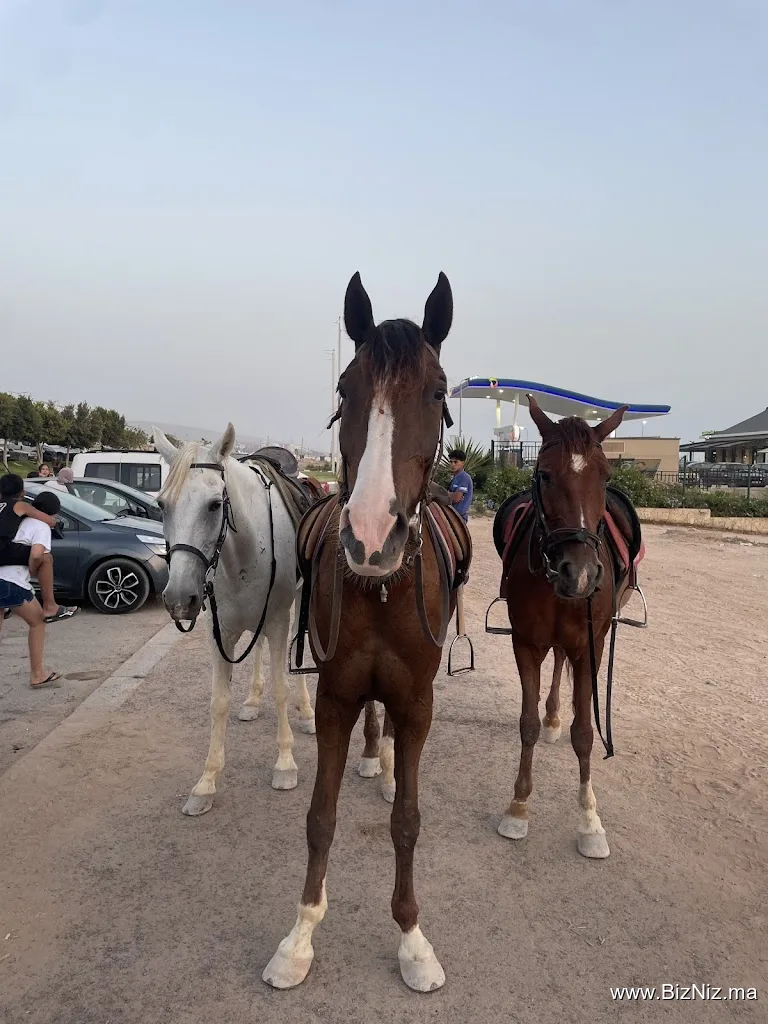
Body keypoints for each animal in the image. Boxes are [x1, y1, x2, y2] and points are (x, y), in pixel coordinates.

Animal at [153, 426, 317, 815]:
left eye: (215, 504)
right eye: (162, 505)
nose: (179, 598)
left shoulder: (276, 619)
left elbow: (281, 687)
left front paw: (285, 763)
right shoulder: (221, 632)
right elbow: (219, 701)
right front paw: (206, 782)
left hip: (298, 601)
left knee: (297, 648)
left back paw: (306, 712)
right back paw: (253, 701)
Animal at [263, 271, 467, 993]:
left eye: (437, 393)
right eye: (345, 389)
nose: (372, 534)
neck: (381, 589)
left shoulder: (417, 702)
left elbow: (406, 821)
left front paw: (412, 940)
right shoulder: (335, 696)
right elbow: (319, 819)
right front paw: (298, 937)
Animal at [491, 396, 643, 858]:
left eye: (606, 475)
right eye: (543, 473)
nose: (579, 573)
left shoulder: (589, 646)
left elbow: (585, 733)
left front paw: (590, 822)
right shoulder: (526, 644)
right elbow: (526, 724)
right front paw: (518, 807)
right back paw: (554, 717)